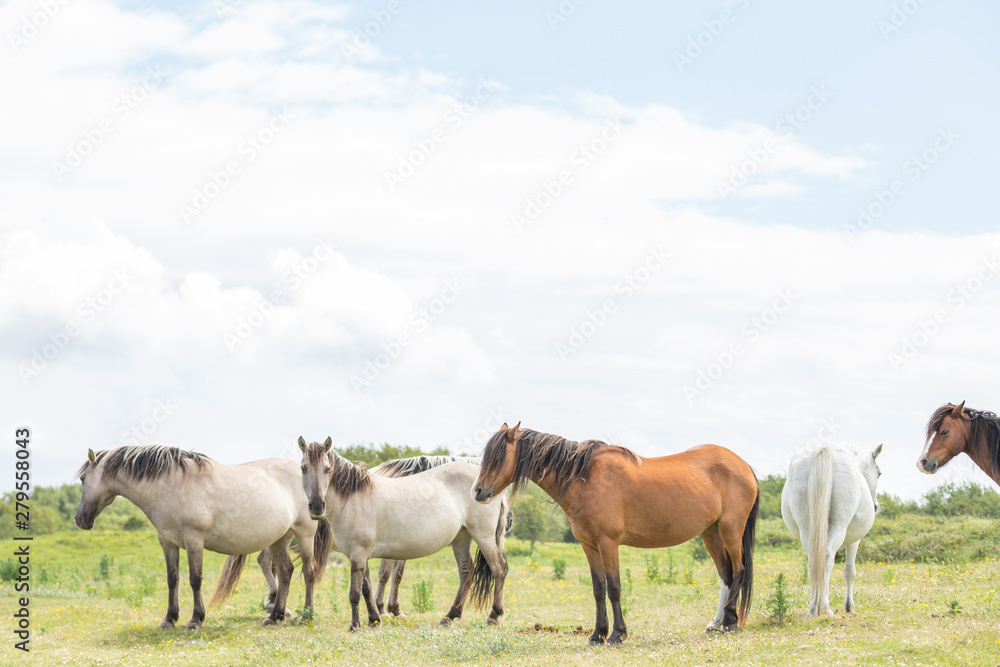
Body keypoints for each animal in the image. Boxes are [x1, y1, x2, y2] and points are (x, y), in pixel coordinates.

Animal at [74, 445, 331, 629]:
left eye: (83, 479)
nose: (79, 519)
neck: (171, 484)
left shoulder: (193, 540)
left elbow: (194, 579)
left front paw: (195, 619)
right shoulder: (167, 541)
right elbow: (173, 579)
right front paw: (169, 619)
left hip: (304, 535)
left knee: (308, 572)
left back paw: (306, 616)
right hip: (280, 538)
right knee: (286, 571)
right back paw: (275, 616)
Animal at [298, 437, 509, 631]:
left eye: (327, 469)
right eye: (303, 468)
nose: (317, 506)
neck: (355, 497)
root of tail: (486, 485)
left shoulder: (357, 554)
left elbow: (355, 593)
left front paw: (355, 625)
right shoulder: (360, 555)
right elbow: (367, 588)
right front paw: (374, 620)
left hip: (484, 536)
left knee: (499, 568)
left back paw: (494, 615)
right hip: (461, 537)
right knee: (466, 571)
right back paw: (450, 616)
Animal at [472, 423, 759, 646]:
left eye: (498, 458)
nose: (477, 491)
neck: (585, 478)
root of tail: (743, 465)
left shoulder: (608, 544)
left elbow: (614, 588)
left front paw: (617, 635)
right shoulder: (589, 546)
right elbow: (599, 589)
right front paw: (597, 634)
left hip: (731, 529)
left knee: (738, 570)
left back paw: (730, 620)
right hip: (711, 533)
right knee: (725, 574)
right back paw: (717, 622)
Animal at [780, 442, 882, 617]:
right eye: (879, 474)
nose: (875, 506)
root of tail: (824, 450)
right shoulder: (854, 540)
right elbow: (850, 571)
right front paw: (849, 606)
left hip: (807, 530)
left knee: (814, 559)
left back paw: (813, 608)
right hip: (839, 527)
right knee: (827, 557)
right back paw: (824, 607)